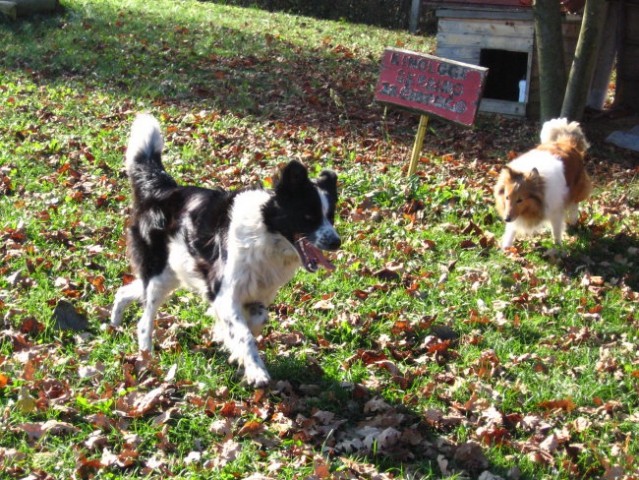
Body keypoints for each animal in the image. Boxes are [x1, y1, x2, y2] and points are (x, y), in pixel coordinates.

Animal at [111, 114, 340, 388]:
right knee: (145, 320)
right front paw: (256, 370)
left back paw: (113, 324)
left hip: (173, 273)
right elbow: (243, 333)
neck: (265, 232)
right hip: (159, 276)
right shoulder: (224, 292)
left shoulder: (257, 294)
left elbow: (255, 322)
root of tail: (163, 190)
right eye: (309, 216)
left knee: (126, 291)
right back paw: (147, 356)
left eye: (330, 216)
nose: (336, 242)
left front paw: (228, 342)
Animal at [496, 118, 596, 249]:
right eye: (507, 197)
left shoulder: (555, 211)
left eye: (520, 200)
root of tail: (567, 143)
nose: (506, 218)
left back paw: (573, 221)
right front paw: (506, 247)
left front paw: (557, 247)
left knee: (575, 204)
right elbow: (511, 229)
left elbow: (556, 231)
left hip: (577, 187)